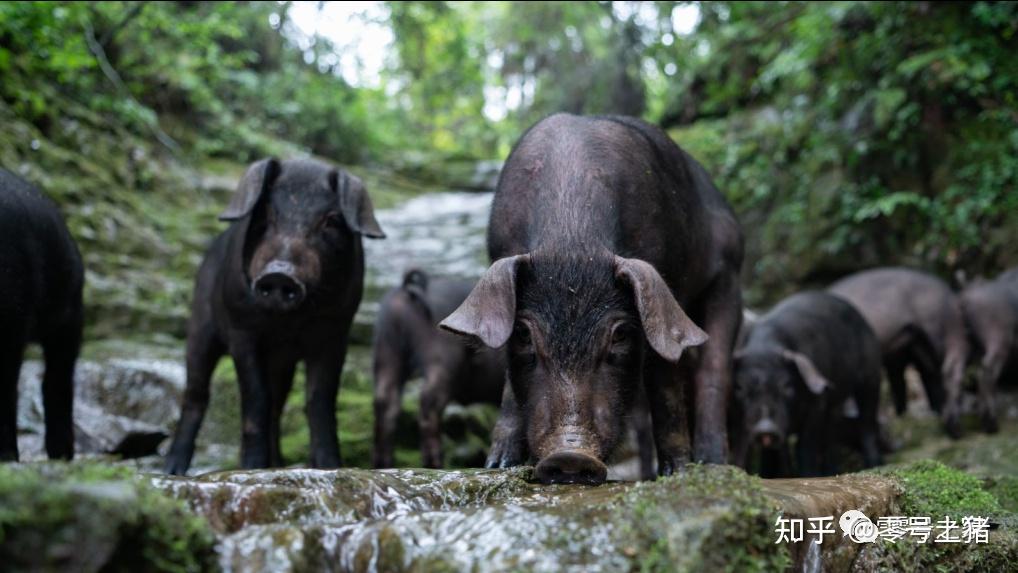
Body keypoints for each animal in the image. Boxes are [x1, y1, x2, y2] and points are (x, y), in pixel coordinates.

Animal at [162, 157, 384, 476]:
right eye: (265, 212)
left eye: (330, 220)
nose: (280, 274)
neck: (284, 325)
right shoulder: (242, 330)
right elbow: (255, 397)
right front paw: (250, 468)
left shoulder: (334, 332)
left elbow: (319, 400)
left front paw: (329, 467)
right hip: (200, 325)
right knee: (196, 393)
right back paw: (173, 469)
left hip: (283, 365)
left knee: (277, 406)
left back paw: (276, 465)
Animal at [437, 113, 741, 484]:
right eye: (523, 334)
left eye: (621, 334)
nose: (570, 455)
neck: (572, 241)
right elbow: (509, 386)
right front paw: (497, 466)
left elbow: (664, 383)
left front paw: (677, 474)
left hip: (729, 277)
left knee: (714, 369)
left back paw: (713, 465)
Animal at [732, 289, 883, 478]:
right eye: (740, 387)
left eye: (786, 385)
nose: (765, 428)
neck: (765, 348)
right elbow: (770, 454)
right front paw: (768, 476)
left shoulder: (818, 402)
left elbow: (805, 446)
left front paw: (807, 474)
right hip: (836, 403)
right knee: (831, 435)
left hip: (871, 374)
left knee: (867, 421)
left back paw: (872, 464)